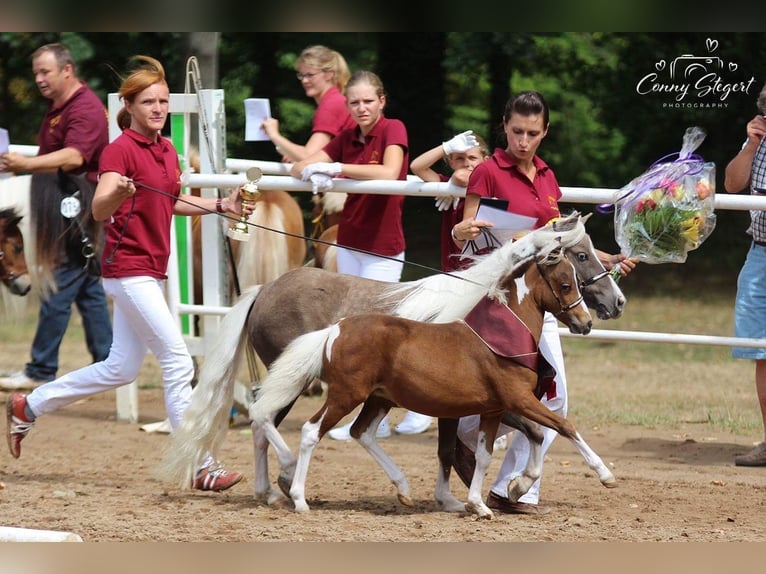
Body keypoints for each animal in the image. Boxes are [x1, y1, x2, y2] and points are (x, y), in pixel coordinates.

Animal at [252, 243, 616, 516]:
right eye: (566, 284)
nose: (586, 322)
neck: (500, 339)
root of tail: (335, 330)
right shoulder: (519, 400)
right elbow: (563, 426)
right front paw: (605, 475)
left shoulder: (495, 408)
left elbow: (496, 450)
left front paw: (493, 499)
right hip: (345, 395)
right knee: (310, 431)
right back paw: (298, 498)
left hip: (379, 398)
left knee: (361, 432)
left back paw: (402, 488)